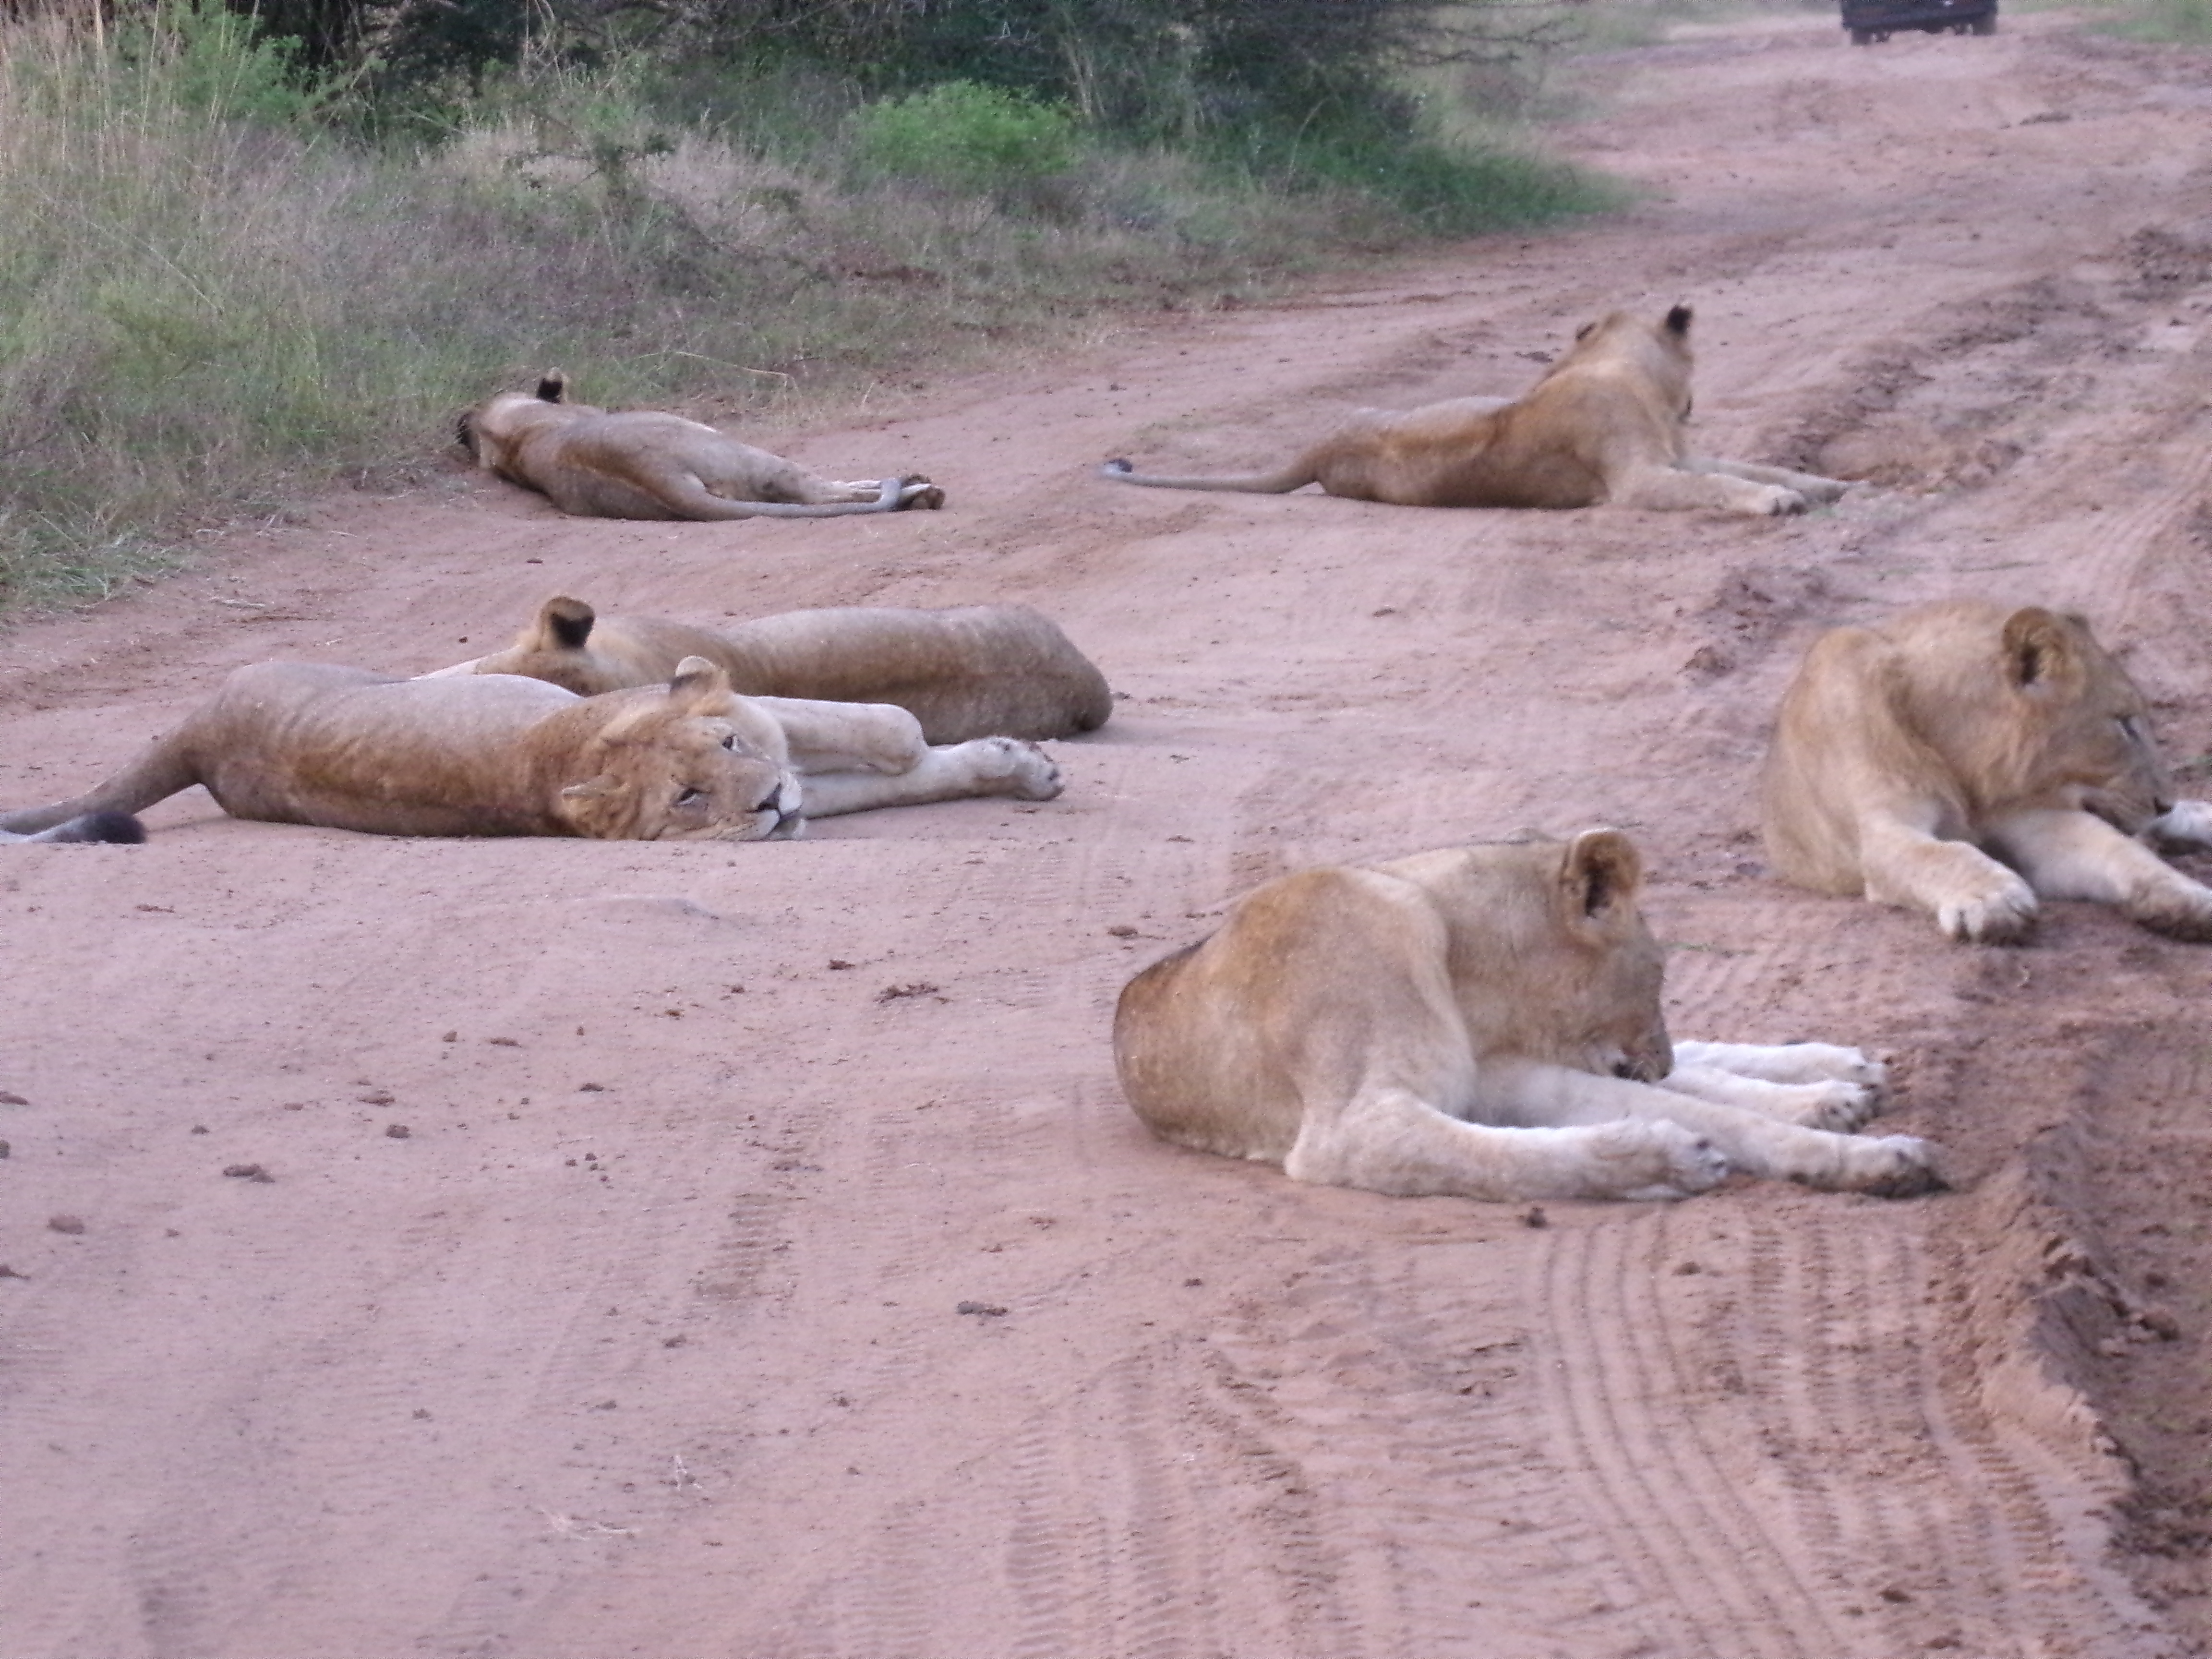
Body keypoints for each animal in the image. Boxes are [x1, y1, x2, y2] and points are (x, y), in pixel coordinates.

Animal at [1100, 306, 1851, 518]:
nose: (1696, 403)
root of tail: (1318, 448)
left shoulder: (1681, 454)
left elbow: (1750, 465)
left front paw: (1831, 484)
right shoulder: (1637, 479)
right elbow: (1722, 484)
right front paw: (1776, 502)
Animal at [1113, 833, 1942, 1203]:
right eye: (1660, 973)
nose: (1661, 1058)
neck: (1454, 952)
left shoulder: (1506, 1076)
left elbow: (1698, 1103)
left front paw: (1863, 1148)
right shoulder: (1352, 1130)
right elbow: (1509, 1160)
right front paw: (1665, 1160)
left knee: (1710, 1063)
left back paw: (1835, 1075)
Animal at [1761, 601, 2212, 943]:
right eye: (2123, 724)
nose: (2162, 802)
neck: (1964, 767)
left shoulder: (2034, 818)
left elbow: (2115, 848)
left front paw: (2188, 898)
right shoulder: (1882, 831)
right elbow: (1943, 854)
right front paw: (1992, 899)